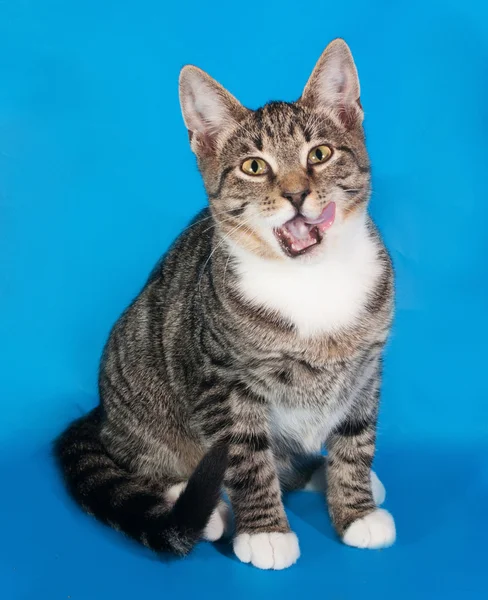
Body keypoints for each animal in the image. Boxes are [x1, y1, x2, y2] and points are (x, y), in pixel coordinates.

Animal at [54, 39, 396, 568]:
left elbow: (355, 439)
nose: (296, 193)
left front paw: (355, 508)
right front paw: (265, 531)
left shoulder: (367, 368)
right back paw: (196, 505)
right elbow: (247, 456)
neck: (311, 280)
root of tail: (103, 413)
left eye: (319, 154)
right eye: (254, 166)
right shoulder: (223, 380)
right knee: (135, 456)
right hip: (137, 378)